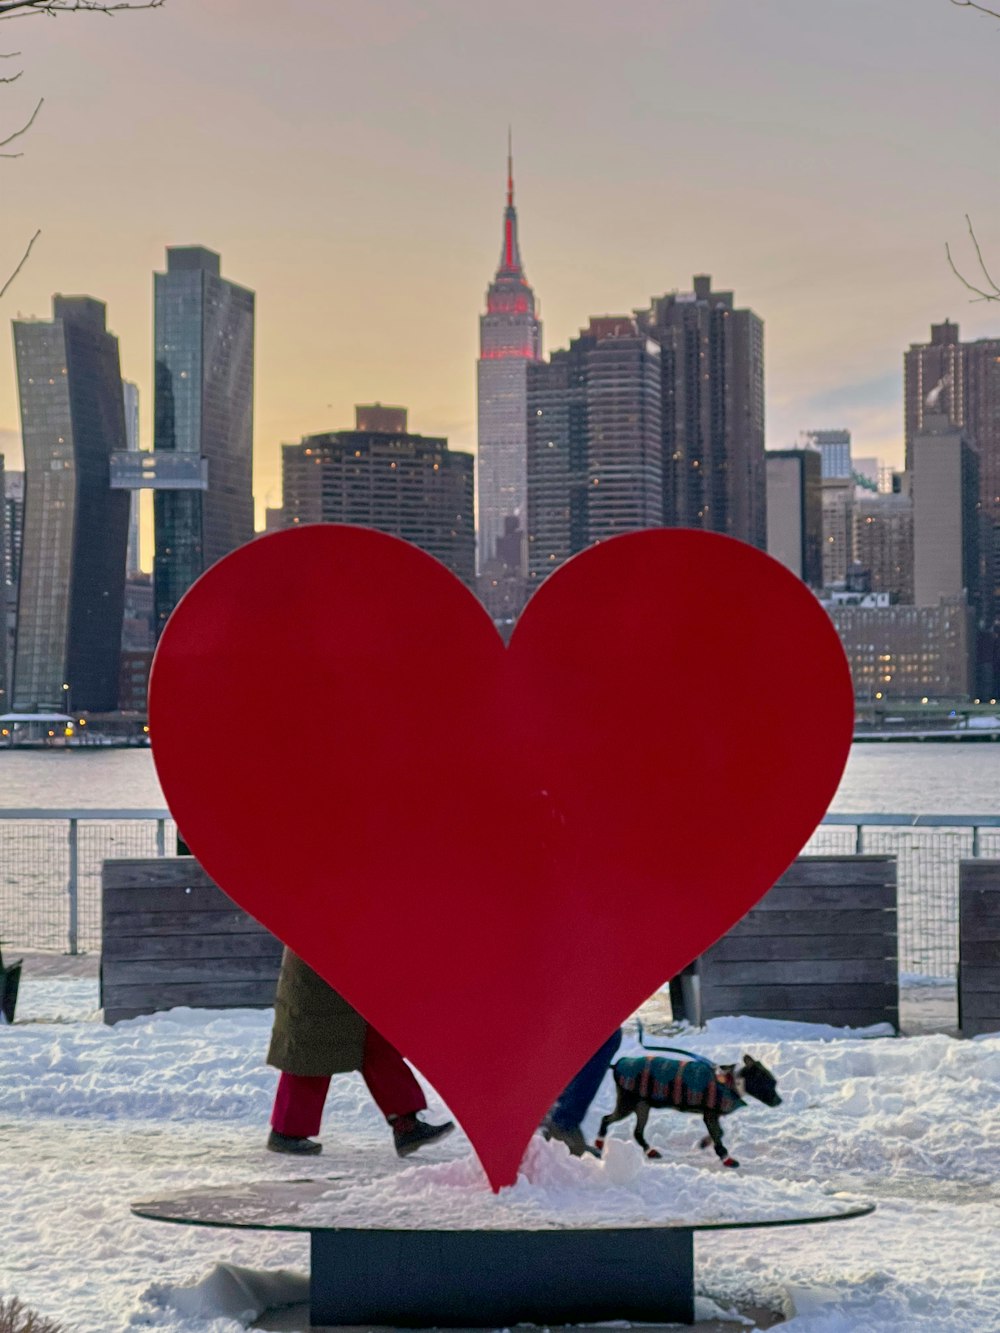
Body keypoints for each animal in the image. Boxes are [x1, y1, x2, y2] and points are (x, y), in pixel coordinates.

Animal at [594, 1050, 784, 1167]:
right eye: (769, 1084)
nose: (780, 1101)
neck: (733, 1081)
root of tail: (617, 1064)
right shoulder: (710, 1115)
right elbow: (718, 1135)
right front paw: (726, 1158)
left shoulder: (712, 1115)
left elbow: (719, 1132)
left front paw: (704, 1143)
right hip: (627, 1104)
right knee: (606, 1119)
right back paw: (599, 1142)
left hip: (642, 1106)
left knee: (637, 1132)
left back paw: (650, 1151)